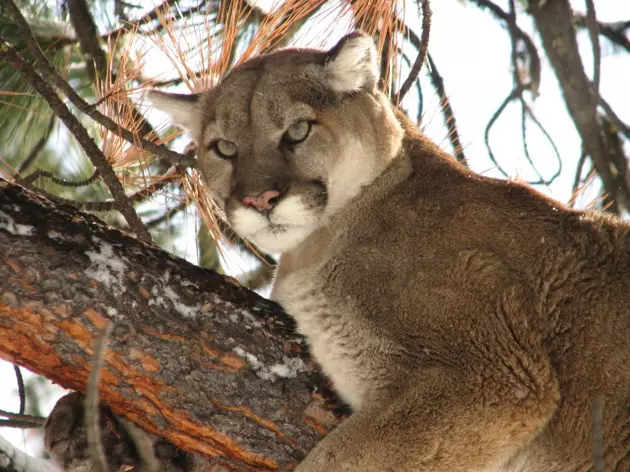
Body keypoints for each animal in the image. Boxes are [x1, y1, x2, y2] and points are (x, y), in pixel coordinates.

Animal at [45, 33, 630, 472]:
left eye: (298, 130)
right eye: (224, 148)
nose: (259, 200)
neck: (313, 251)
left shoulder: (493, 375)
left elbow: (339, 460)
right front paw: (93, 429)